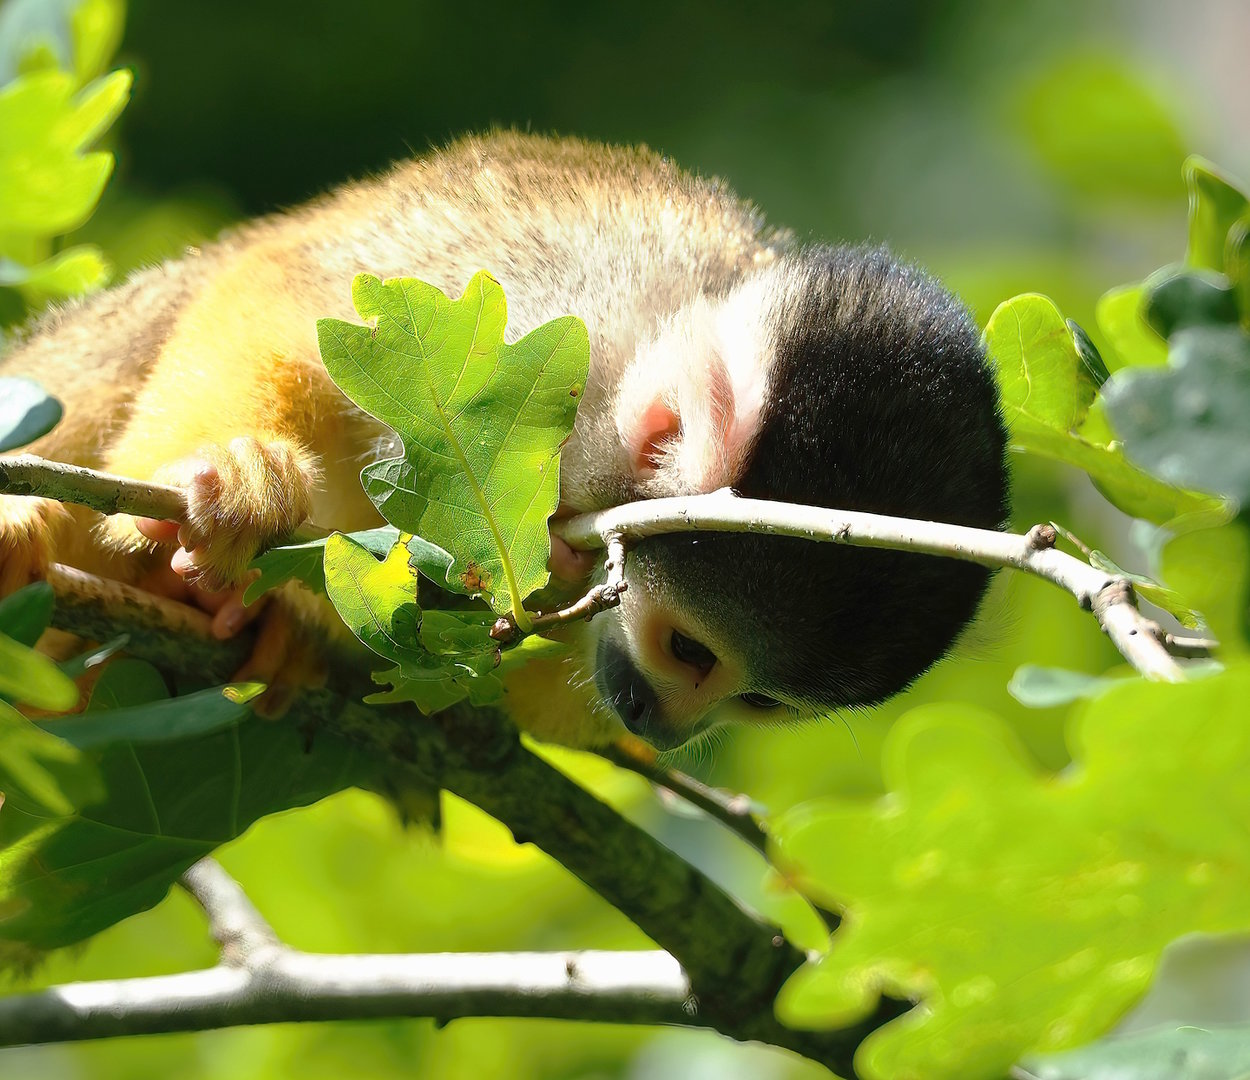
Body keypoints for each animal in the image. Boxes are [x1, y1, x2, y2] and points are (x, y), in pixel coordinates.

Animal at [0, 132, 1009, 751]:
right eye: (692, 653)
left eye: (756, 702)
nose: (659, 728)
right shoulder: (547, 307)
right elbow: (282, 301)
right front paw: (235, 472)